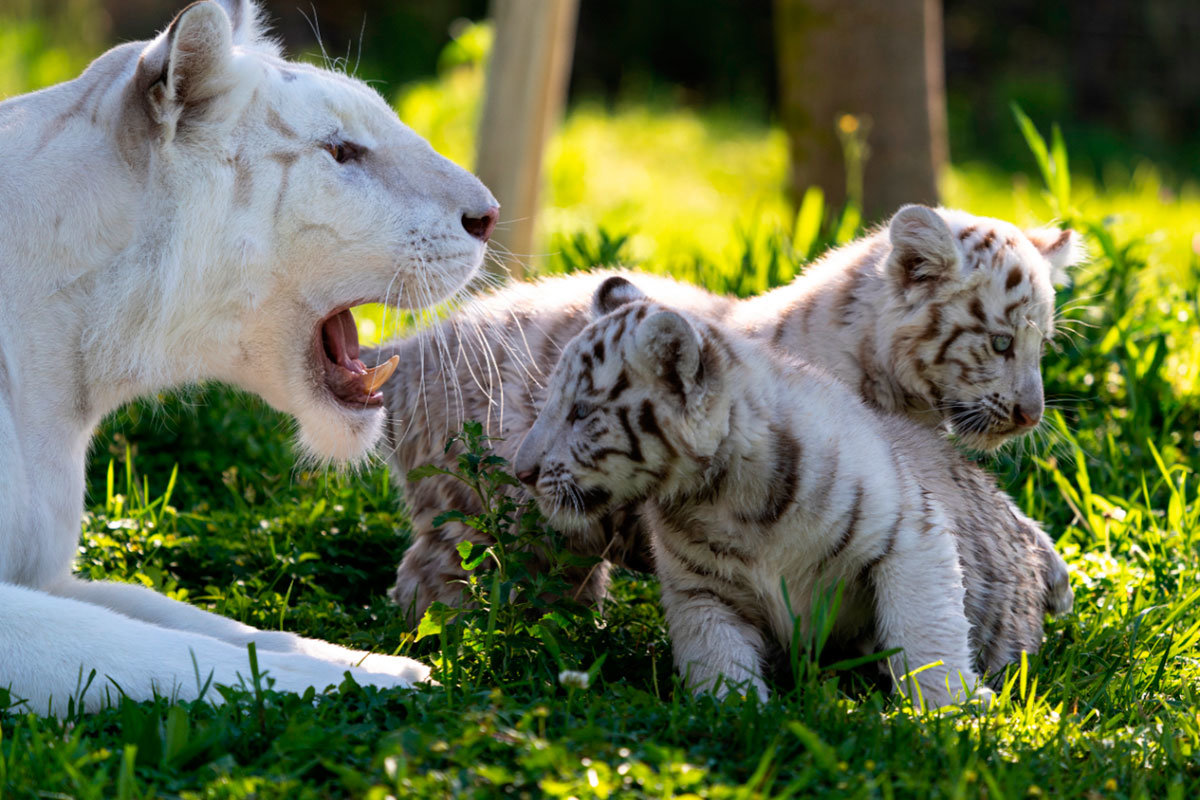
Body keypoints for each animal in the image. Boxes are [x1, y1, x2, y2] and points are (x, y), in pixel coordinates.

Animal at [0, 0, 497, 715]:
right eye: (341, 151)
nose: (490, 215)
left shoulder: (48, 575)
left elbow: (190, 617)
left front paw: (368, 660)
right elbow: (146, 651)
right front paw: (376, 683)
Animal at [374, 204, 1082, 626]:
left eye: (1043, 345)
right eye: (1000, 343)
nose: (1030, 415)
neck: (901, 393)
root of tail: (409, 348)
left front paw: (1056, 578)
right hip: (474, 509)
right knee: (427, 584)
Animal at [512, 275, 1066, 708]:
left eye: (581, 412)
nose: (521, 470)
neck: (725, 497)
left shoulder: (909, 535)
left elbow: (925, 630)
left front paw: (951, 712)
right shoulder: (701, 589)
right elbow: (716, 655)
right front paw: (735, 716)